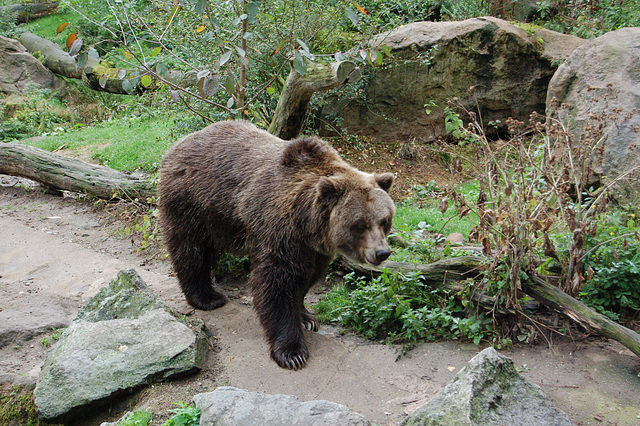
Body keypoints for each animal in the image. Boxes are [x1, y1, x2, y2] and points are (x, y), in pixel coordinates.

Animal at [158, 120, 392, 370]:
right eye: (360, 225)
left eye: (384, 220)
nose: (382, 252)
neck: (307, 224)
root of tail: (179, 143)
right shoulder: (279, 228)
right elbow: (276, 283)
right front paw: (292, 352)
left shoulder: (313, 249)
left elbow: (307, 279)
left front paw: (307, 317)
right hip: (194, 200)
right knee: (192, 249)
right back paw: (207, 297)